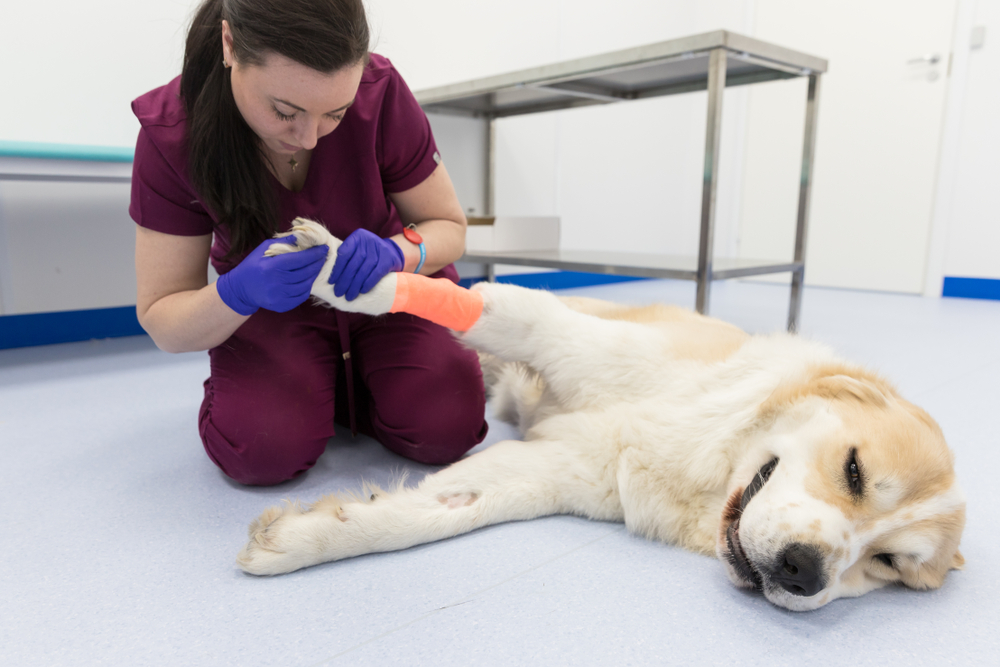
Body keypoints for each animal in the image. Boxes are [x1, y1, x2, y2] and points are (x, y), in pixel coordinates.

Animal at [232, 218, 960, 612]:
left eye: (887, 563)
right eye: (854, 470)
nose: (804, 572)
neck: (706, 458)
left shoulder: (553, 468)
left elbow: (429, 513)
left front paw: (306, 537)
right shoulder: (557, 330)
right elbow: (451, 300)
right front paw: (332, 266)